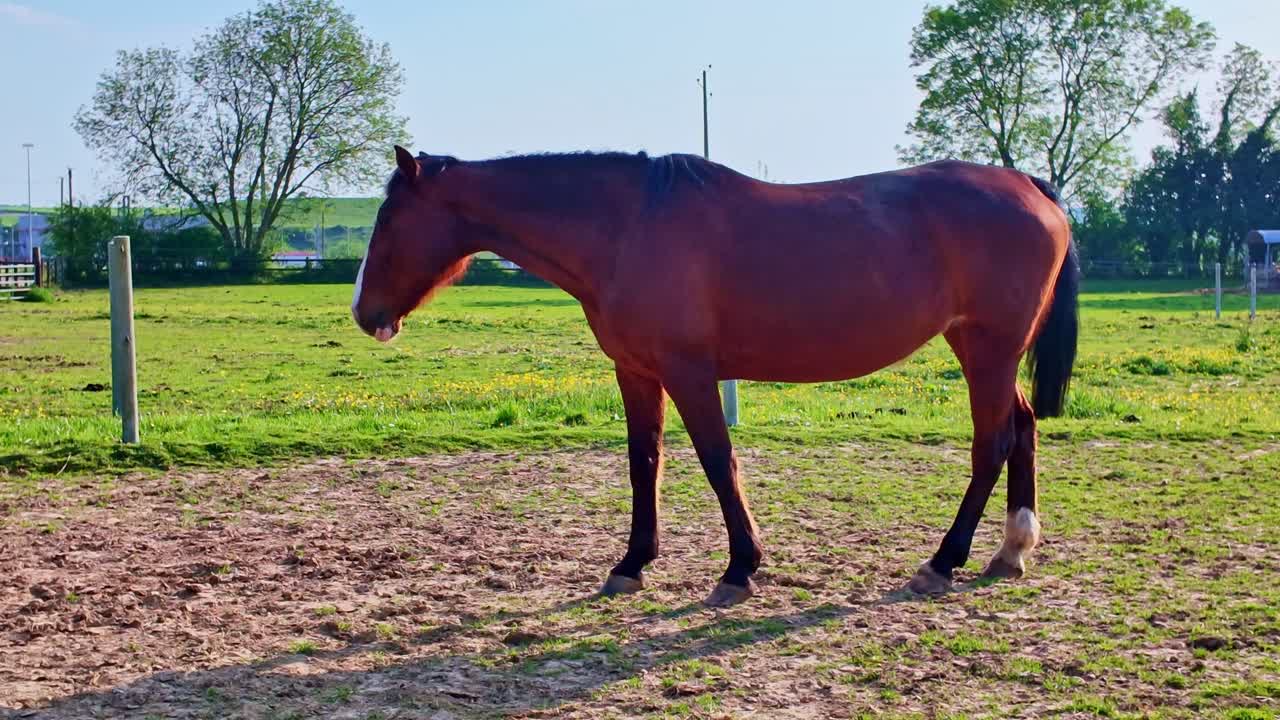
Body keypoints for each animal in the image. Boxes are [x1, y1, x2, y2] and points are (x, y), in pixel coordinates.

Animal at [352, 145, 1078, 607]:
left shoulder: (689, 372)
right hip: (987, 350)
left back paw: (944, 560)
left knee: (992, 442)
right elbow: (644, 460)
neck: (626, 226)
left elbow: (715, 460)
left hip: (987, 349)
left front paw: (739, 569)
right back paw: (1012, 550)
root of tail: (1028, 186)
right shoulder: (636, 370)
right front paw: (632, 564)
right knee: (1022, 427)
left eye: (388, 219)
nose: (365, 313)